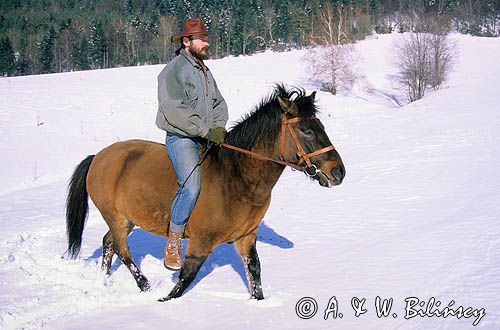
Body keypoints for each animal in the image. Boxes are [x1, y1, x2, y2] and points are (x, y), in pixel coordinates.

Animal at [65, 84, 344, 300]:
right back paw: (144, 286)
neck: (235, 176)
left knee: (108, 244)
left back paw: (103, 282)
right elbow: (184, 280)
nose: (338, 172)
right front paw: (163, 301)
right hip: (116, 218)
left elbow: (255, 274)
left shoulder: (246, 238)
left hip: (126, 219)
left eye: (320, 126)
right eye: (306, 130)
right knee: (122, 250)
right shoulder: (201, 241)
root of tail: (98, 157)